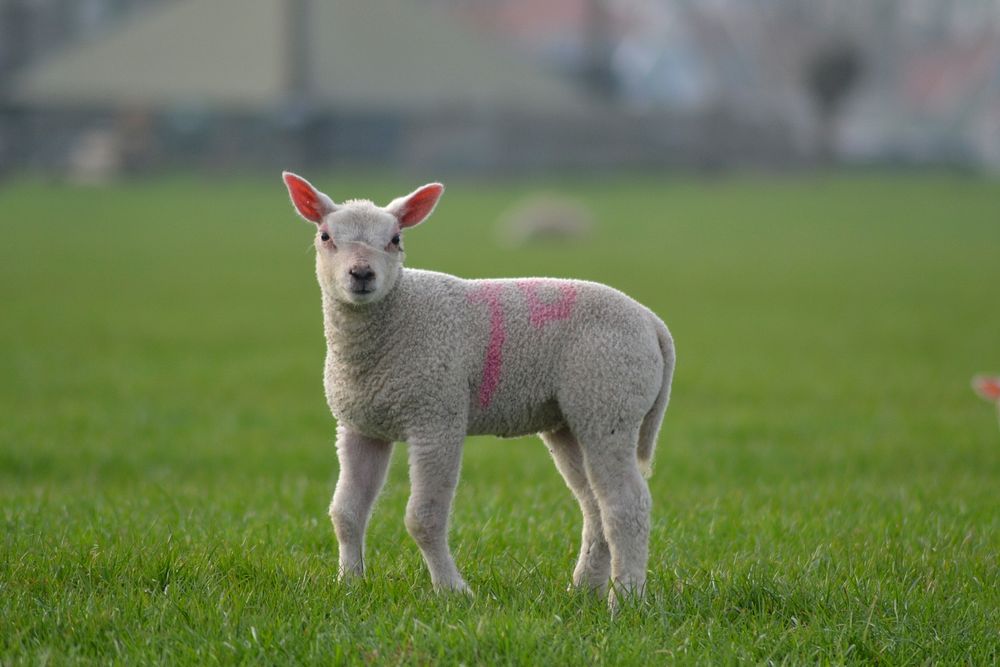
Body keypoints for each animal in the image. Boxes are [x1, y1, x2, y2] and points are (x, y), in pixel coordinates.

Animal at [280, 171, 680, 604]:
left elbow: (423, 518)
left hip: (610, 398)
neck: (396, 319)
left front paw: (452, 591)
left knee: (627, 504)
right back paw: (583, 589)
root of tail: (653, 323)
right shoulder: (360, 426)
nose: (362, 274)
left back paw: (625, 598)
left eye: (396, 239)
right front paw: (349, 583)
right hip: (571, 418)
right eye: (325, 236)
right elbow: (346, 512)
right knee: (594, 505)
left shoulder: (437, 415)